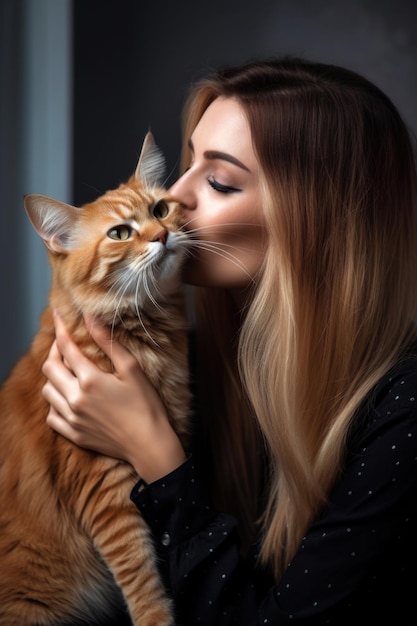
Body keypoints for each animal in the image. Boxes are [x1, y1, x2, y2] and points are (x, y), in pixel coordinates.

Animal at [0, 133, 191, 624]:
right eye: (120, 233)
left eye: (161, 210)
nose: (162, 235)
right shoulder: (105, 487)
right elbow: (143, 580)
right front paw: (158, 618)